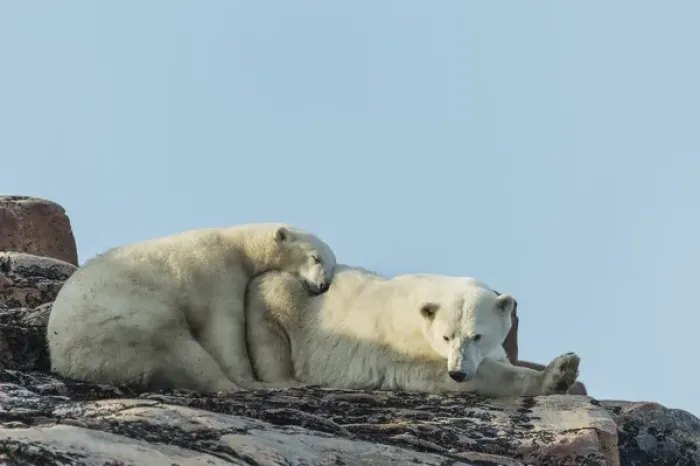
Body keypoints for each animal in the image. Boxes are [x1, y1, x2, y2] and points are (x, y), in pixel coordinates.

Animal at [46, 223, 336, 393]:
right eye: (315, 257)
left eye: (333, 265)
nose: (323, 285)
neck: (239, 247)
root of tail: (68, 360)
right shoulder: (217, 272)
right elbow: (224, 328)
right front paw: (248, 379)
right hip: (128, 322)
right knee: (180, 348)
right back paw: (233, 386)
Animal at [245, 265, 580, 396]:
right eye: (446, 336)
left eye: (477, 336)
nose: (459, 372)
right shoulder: (406, 350)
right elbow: (474, 375)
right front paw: (558, 373)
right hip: (286, 299)